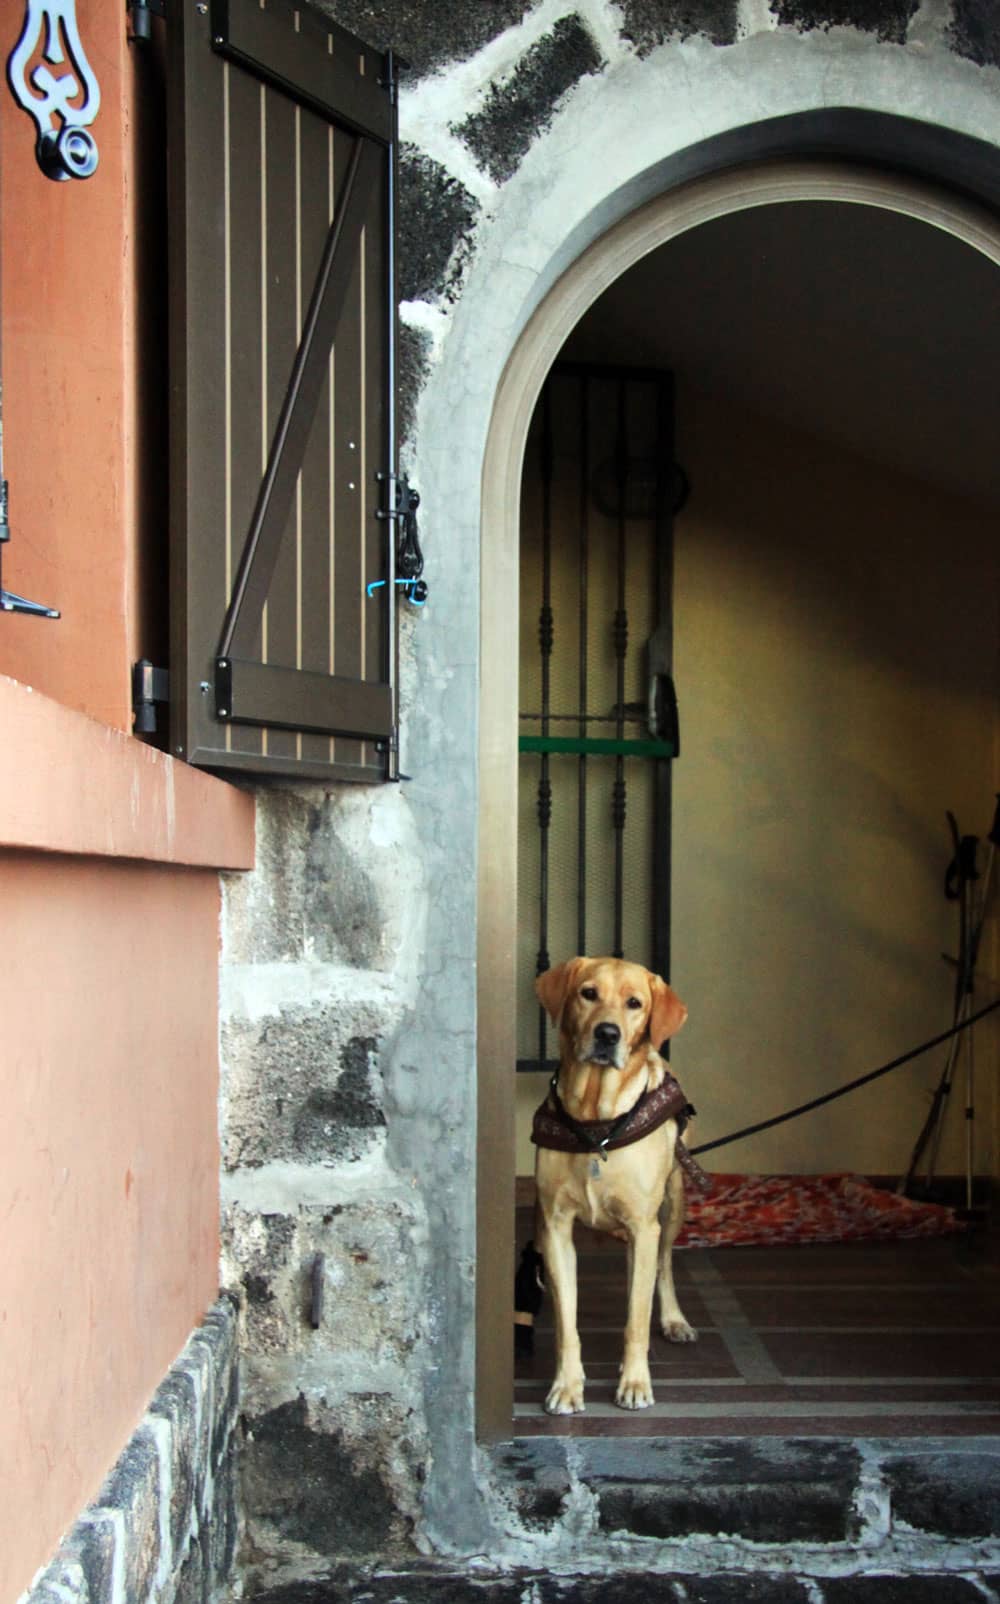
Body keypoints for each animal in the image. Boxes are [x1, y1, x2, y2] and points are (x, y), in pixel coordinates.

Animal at [532, 955, 696, 1411]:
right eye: (588, 993)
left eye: (634, 1003)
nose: (608, 1033)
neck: (596, 1126)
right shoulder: (555, 1228)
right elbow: (567, 1323)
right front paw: (567, 1385)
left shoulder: (644, 1225)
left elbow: (637, 1320)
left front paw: (636, 1382)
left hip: (672, 1206)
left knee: (661, 1267)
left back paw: (673, 1320)